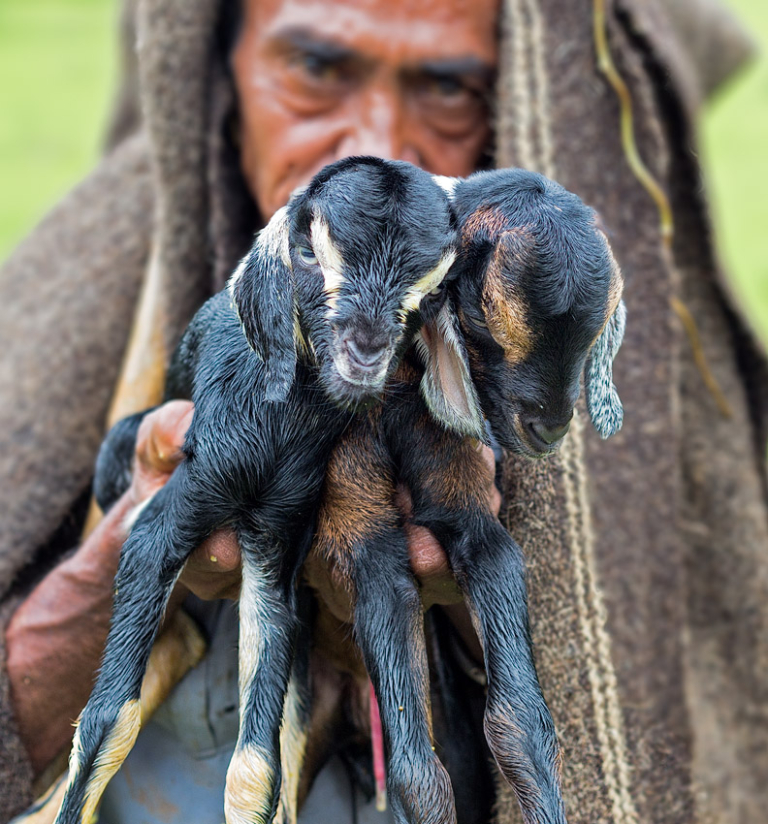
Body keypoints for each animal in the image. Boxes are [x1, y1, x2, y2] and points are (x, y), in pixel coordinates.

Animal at [308, 169, 628, 824]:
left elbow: (519, 721)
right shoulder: (355, 521)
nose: (549, 426)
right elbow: (414, 765)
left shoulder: (466, 500)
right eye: (479, 321)